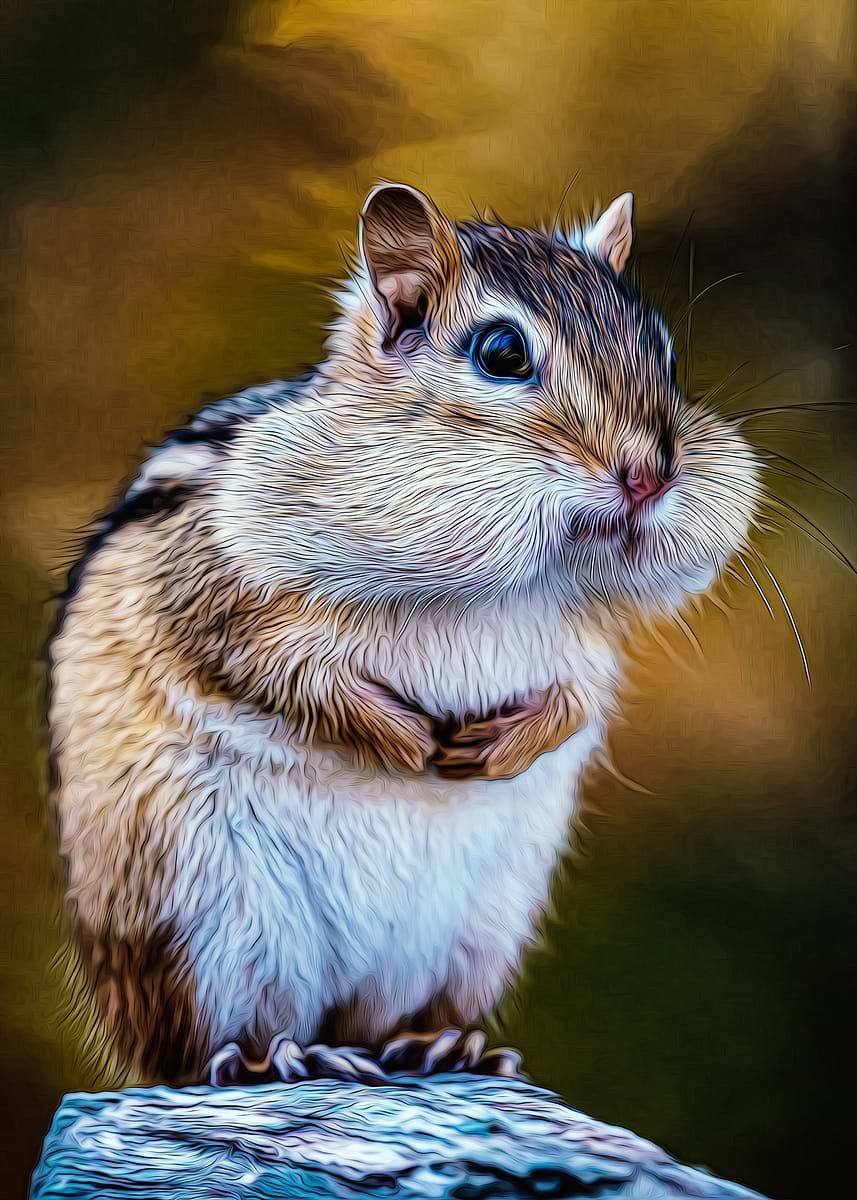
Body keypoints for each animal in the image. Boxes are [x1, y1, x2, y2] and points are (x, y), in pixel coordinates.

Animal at [48, 183, 760, 1087]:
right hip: (197, 921)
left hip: (478, 929)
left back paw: (438, 1046)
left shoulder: (584, 640)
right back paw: (271, 1059)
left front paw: (501, 746)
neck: (511, 577)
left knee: (388, 1019)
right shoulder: (213, 579)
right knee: (201, 1049)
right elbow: (274, 671)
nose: (650, 475)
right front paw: (403, 741)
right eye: (501, 352)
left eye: (662, 352)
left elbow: (580, 694)